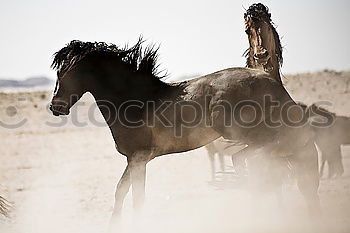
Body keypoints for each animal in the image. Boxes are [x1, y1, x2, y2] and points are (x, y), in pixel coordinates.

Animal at [49, 6, 320, 221]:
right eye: (58, 73)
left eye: (67, 73)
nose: (55, 107)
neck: (136, 99)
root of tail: (270, 82)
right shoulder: (133, 160)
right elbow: (121, 192)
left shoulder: (139, 158)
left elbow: (136, 198)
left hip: (239, 130)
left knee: (266, 148)